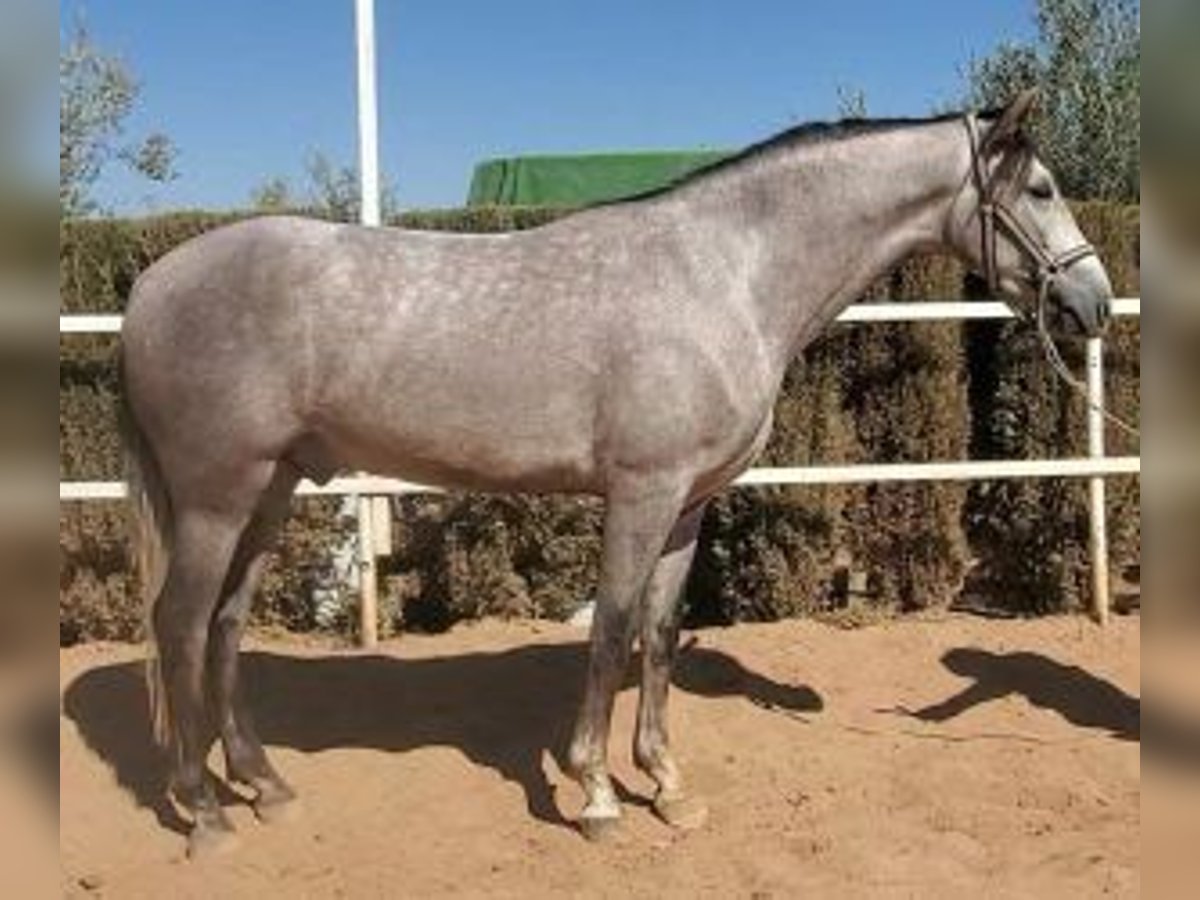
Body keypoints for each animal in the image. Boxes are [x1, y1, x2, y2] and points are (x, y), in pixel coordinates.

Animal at [119, 89, 1112, 856]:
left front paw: (667, 786)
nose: (1092, 302)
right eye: (1040, 188)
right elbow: (610, 631)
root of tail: (151, 287)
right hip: (216, 498)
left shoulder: (689, 504)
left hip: (271, 491)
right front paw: (597, 795)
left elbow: (660, 635)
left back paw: (264, 786)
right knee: (179, 625)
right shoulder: (641, 493)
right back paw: (204, 812)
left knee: (225, 628)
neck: (724, 276)